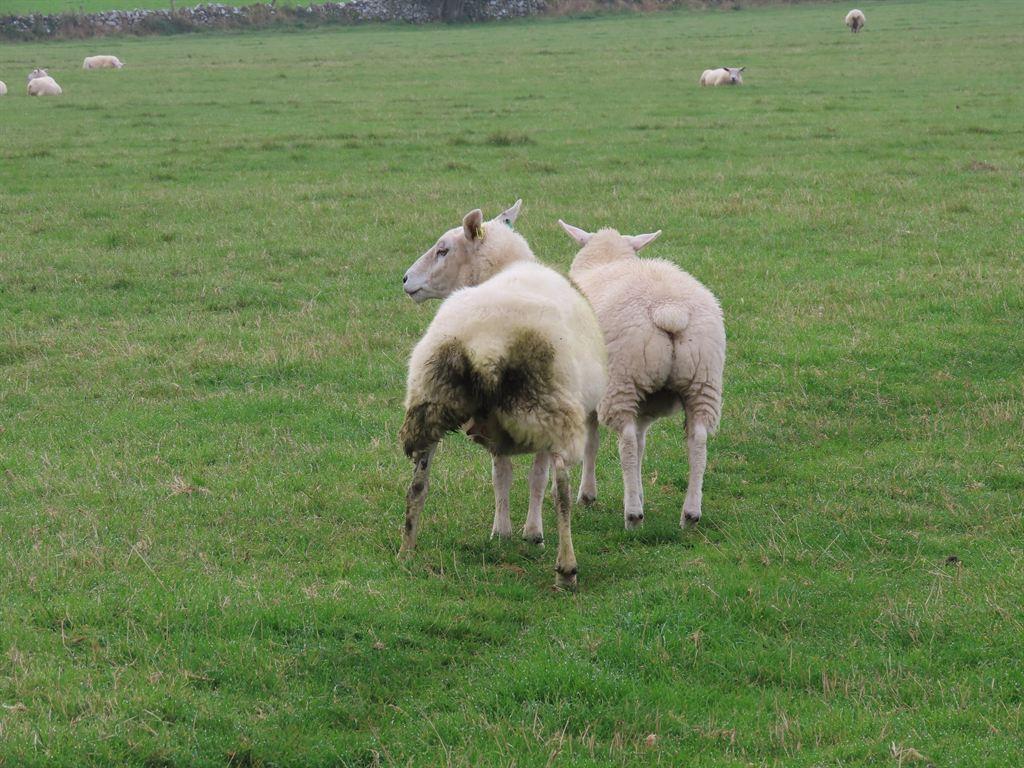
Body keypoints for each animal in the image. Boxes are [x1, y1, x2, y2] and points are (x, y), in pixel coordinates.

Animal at [400, 207, 607, 591]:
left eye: (443, 250)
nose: (406, 280)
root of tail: (487, 341)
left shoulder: (497, 428)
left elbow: (501, 474)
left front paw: (502, 532)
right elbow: (535, 478)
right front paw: (531, 534)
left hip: (429, 401)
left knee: (419, 483)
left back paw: (406, 548)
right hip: (554, 407)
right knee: (561, 490)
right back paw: (566, 569)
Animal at [558, 221, 725, 531]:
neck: (606, 259)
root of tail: (669, 310)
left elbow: (593, 442)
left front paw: (588, 494)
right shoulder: (645, 406)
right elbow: (641, 444)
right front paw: (637, 490)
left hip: (622, 378)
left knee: (625, 442)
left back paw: (633, 515)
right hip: (703, 380)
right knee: (697, 440)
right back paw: (690, 514)